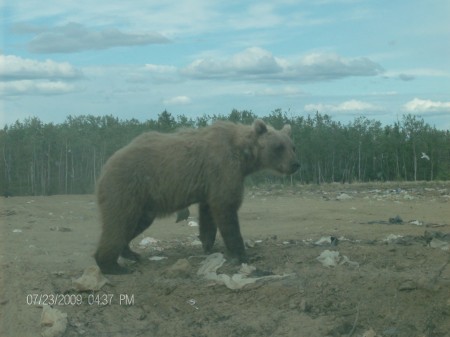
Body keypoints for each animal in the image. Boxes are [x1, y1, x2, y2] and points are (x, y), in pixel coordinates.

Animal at [94, 118, 298, 272]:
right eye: (278, 146)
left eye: (292, 147)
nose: (295, 164)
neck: (243, 154)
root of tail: (106, 166)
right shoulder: (223, 169)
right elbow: (227, 209)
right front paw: (242, 254)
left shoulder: (210, 184)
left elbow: (208, 215)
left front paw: (208, 245)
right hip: (127, 186)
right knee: (119, 222)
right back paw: (111, 265)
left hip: (144, 202)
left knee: (135, 224)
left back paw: (131, 253)